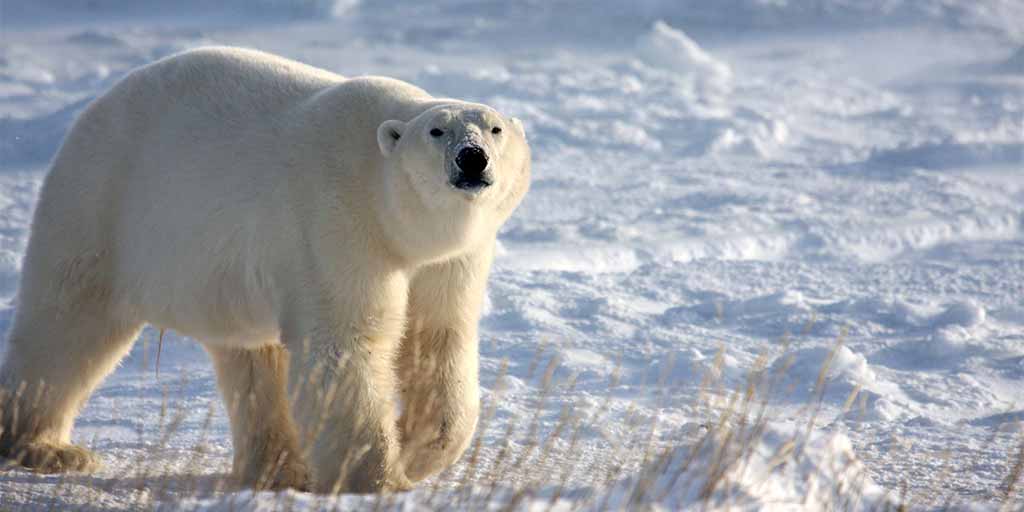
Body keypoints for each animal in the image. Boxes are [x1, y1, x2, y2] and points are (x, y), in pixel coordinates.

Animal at [0, 46, 528, 493]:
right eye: (436, 131)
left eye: (494, 129)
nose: (472, 158)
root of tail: (93, 110)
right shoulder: (334, 220)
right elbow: (346, 344)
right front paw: (380, 479)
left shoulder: (450, 258)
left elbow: (437, 337)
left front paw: (416, 451)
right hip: (101, 205)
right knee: (68, 326)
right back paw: (46, 447)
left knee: (251, 360)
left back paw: (278, 468)